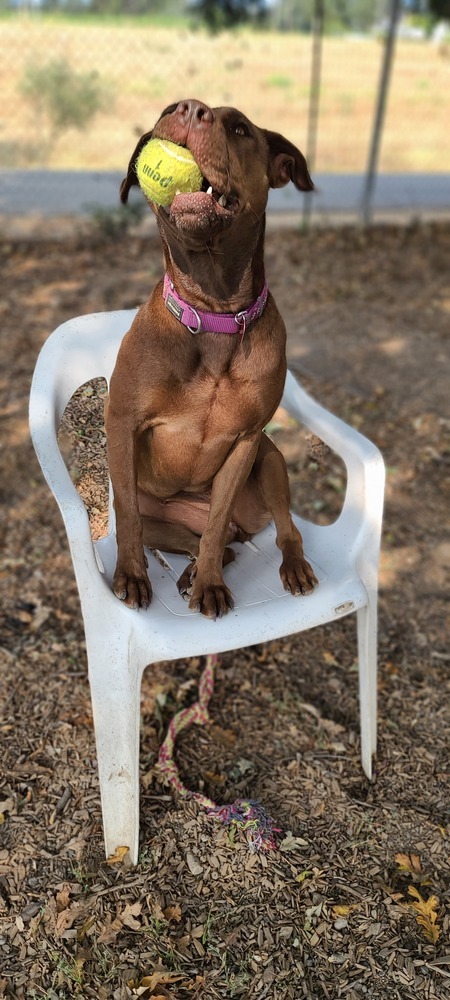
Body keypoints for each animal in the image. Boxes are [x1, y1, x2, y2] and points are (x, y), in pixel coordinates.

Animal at [105, 101, 316, 616]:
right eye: (167, 110)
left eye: (239, 127)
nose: (188, 108)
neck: (213, 313)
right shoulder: (122, 422)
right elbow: (127, 516)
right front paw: (132, 575)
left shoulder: (246, 441)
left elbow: (218, 524)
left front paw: (210, 586)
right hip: (162, 517)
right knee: (200, 540)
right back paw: (186, 571)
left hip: (271, 462)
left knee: (266, 532)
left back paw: (286, 565)